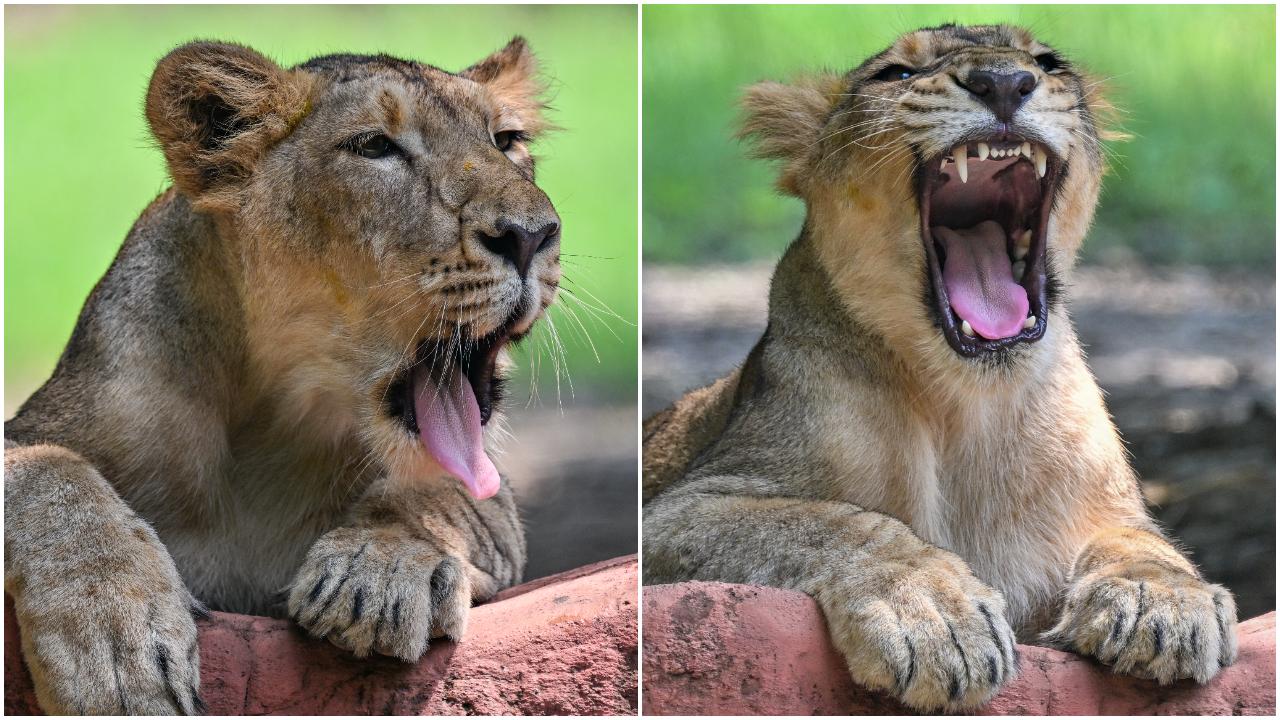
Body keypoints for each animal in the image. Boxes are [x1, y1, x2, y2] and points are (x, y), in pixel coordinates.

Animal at [5, 38, 561, 714]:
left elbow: (443, 493)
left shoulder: (496, 509)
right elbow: (47, 471)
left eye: (507, 140)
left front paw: (380, 571)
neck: (274, 419)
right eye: (374, 146)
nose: (532, 236)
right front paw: (114, 642)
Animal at [643, 24, 1238, 711]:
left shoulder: (1108, 509)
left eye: (1048, 63)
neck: (966, 404)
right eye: (897, 74)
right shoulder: (675, 512)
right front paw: (932, 617)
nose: (1004, 82)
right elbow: (831, 522)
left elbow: (1142, 541)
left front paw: (1161, 600)